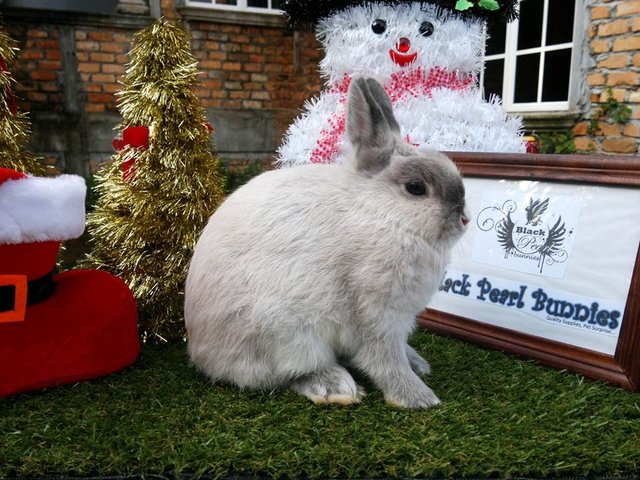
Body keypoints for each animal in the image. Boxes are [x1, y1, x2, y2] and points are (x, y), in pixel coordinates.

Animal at [182, 78, 468, 408]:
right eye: (416, 188)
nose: (464, 219)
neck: (381, 215)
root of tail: (199, 352)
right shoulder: (376, 315)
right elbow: (385, 360)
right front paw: (418, 397)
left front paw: (418, 366)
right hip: (287, 336)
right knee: (281, 376)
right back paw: (335, 386)